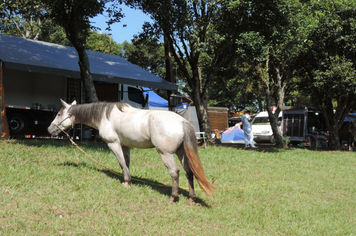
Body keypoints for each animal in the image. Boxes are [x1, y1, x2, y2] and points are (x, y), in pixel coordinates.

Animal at [47, 98, 214, 204]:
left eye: (59, 114)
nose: (49, 129)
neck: (105, 116)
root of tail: (182, 121)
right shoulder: (126, 146)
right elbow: (126, 164)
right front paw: (129, 181)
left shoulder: (113, 144)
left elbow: (121, 163)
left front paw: (126, 182)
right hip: (181, 153)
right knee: (189, 172)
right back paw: (191, 198)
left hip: (166, 154)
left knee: (175, 172)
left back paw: (173, 197)